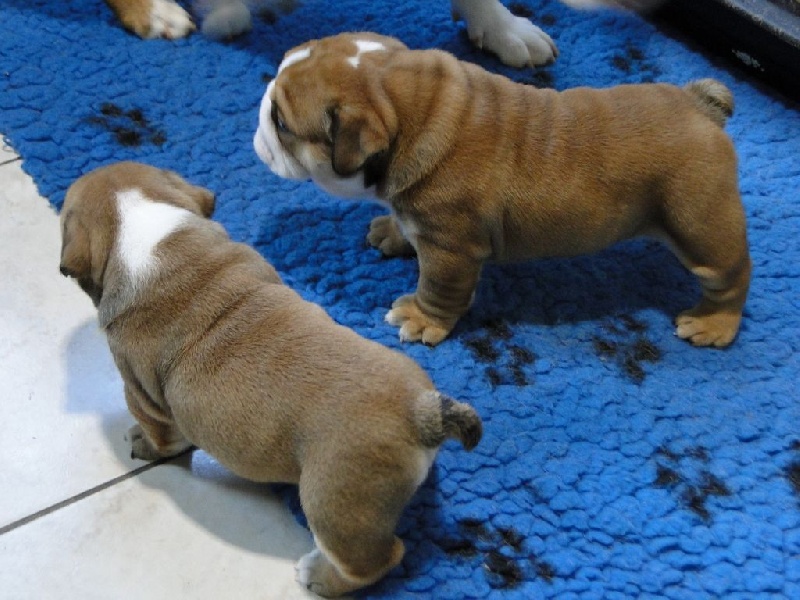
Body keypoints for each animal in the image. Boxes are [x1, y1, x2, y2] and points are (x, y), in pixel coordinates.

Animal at [59, 161, 482, 597]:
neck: (143, 228)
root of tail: (422, 416)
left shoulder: (142, 396)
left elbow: (161, 435)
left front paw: (141, 443)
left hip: (335, 505)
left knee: (376, 559)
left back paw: (318, 575)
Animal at [253, 32, 751, 348]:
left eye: (281, 121)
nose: (259, 113)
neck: (415, 112)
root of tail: (700, 105)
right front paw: (392, 232)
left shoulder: (451, 250)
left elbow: (438, 288)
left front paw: (421, 319)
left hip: (699, 223)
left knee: (733, 274)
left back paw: (713, 325)